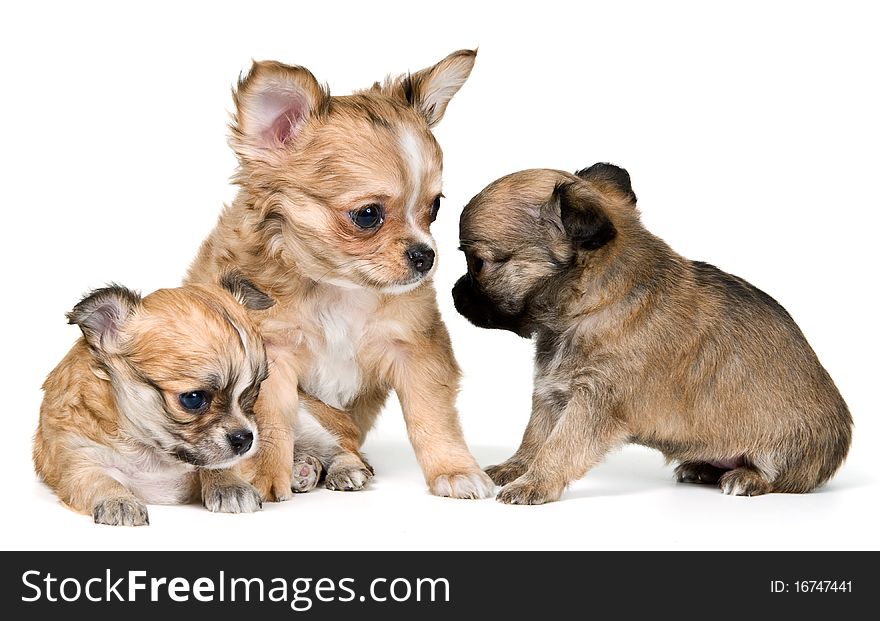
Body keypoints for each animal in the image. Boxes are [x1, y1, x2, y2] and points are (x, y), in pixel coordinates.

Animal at [34, 276, 274, 524]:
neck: (152, 452)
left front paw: (230, 485)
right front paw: (118, 501)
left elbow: (219, 464)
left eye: (255, 390)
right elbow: (99, 480)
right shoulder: (80, 457)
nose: (245, 438)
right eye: (193, 399)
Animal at [187, 50, 496, 502]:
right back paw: (300, 467)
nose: (426, 255)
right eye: (367, 215)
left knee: (345, 444)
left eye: (435, 208)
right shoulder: (274, 355)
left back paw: (339, 468)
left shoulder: (417, 347)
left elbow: (431, 416)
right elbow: (272, 423)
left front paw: (455, 470)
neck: (338, 289)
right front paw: (262, 478)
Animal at [454, 163, 852, 504]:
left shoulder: (593, 402)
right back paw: (702, 468)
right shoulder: (552, 395)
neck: (592, 303)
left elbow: (560, 446)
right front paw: (515, 468)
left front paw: (535, 483)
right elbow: (535, 437)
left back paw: (746, 478)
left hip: (782, 449)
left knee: (777, 475)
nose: (456, 292)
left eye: (477, 263)